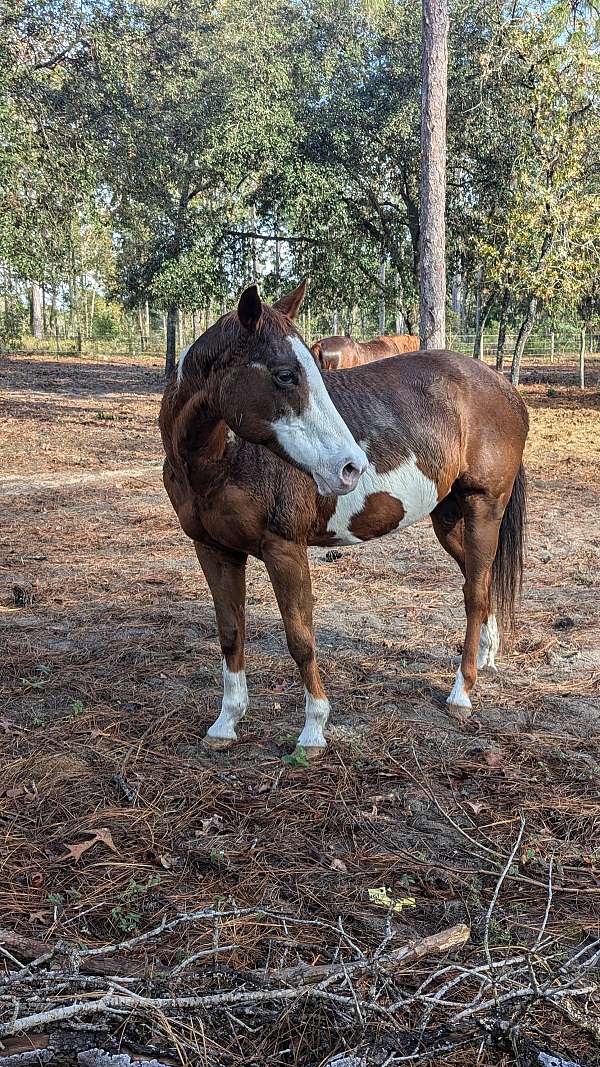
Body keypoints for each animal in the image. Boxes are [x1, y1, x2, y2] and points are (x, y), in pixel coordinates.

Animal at [161, 279, 525, 755]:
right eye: (285, 374)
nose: (351, 467)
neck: (219, 461)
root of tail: (502, 385)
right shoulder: (214, 550)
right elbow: (230, 633)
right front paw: (226, 723)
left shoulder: (284, 550)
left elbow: (301, 640)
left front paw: (314, 730)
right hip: (448, 518)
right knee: (479, 581)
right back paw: (485, 657)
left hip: (484, 507)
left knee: (475, 595)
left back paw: (462, 692)